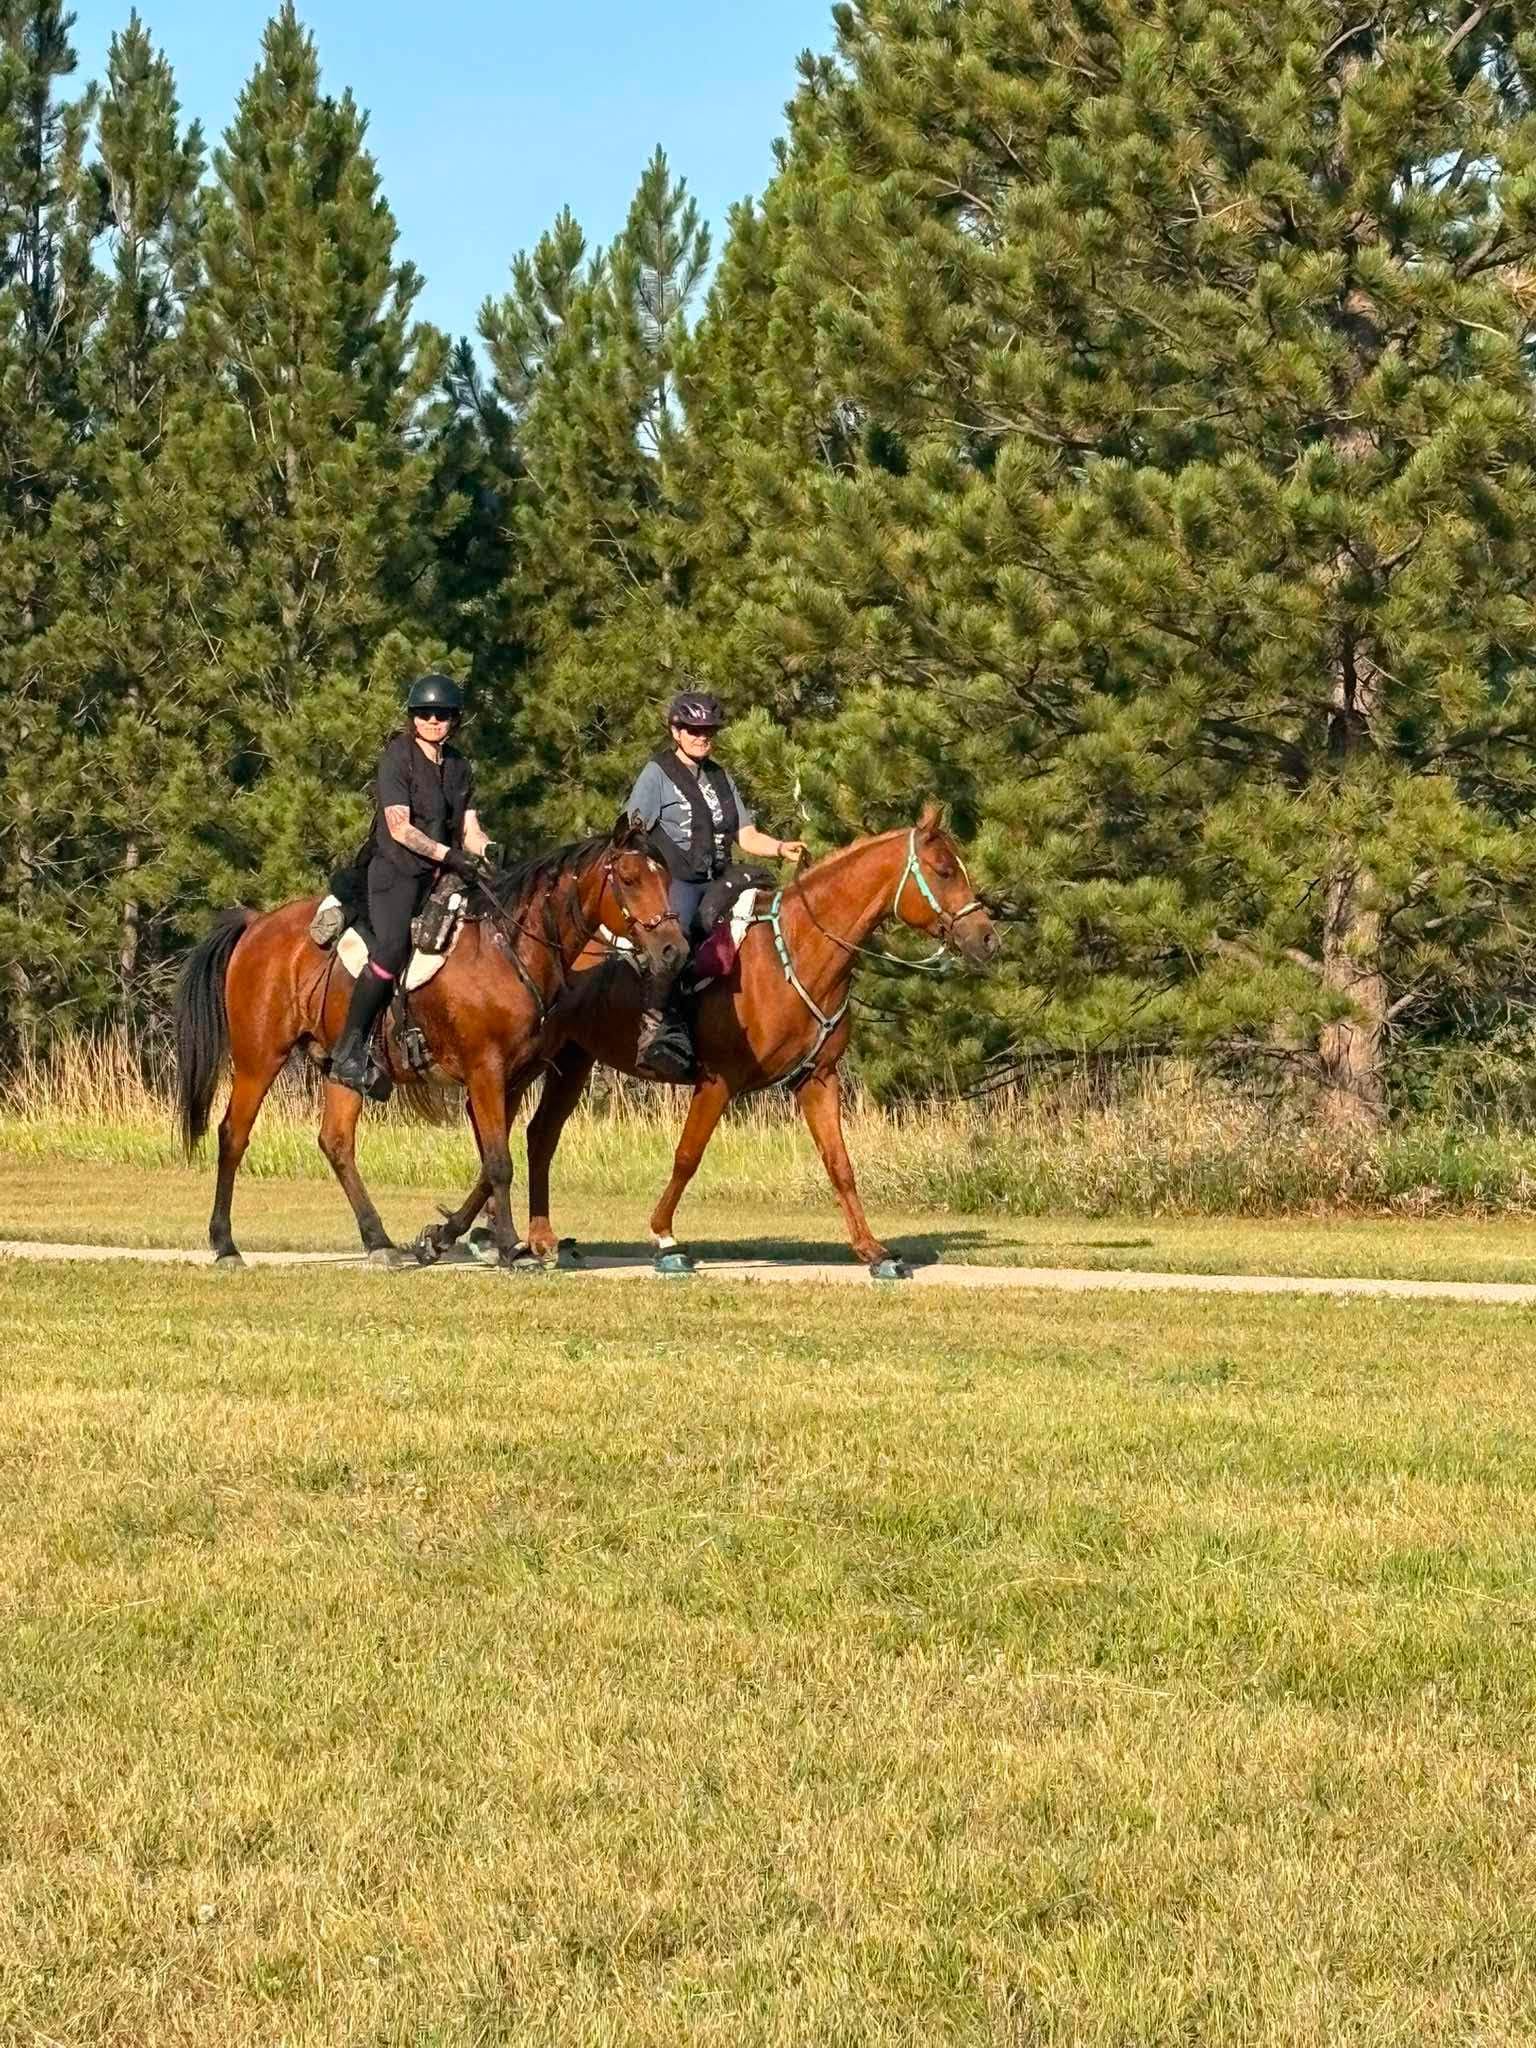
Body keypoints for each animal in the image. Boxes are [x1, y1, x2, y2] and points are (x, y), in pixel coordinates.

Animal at [172, 813, 685, 1270]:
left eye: (665, 876)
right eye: (629, 878)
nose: (673, 950)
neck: (509, 950)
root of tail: (257, 924)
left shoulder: (512, 1079)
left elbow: (490, 1163)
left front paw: (444, 1237)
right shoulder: (485, 1072)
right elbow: (498, 1163)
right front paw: (510, 1249)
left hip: (341, 1069)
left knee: (336, 1142)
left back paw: (379, 1242)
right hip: (259, 1058)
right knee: (233, 1135)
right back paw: (225, 1245)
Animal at [419, 803, 1000, 1276]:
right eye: (945, 870)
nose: (987, 938)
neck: (797, 953)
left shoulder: (818, 1080)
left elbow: (840, 1164)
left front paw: (872, 1250)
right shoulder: (717, 1081)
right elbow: (687, 1156)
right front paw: (665, 1239)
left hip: (568, 1062)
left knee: (531, 1136)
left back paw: (494, 1236)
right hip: (524, 1061)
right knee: (502, 1135)